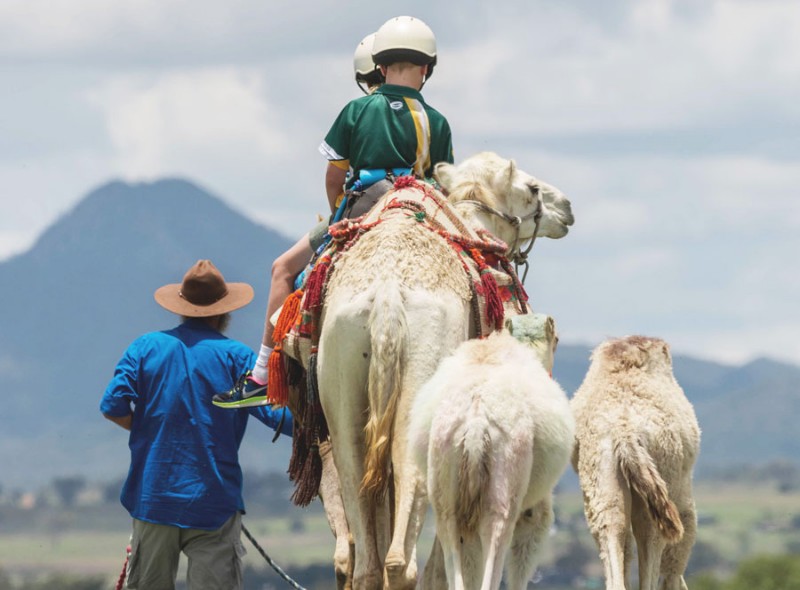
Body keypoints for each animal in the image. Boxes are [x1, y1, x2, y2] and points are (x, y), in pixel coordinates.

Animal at [406, 316, 576, 590]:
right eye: (558, 340)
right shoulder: (536, 512)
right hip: (505, 478)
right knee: (496, 535)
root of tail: (476, 418)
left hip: (446, 483)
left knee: (452, 538)